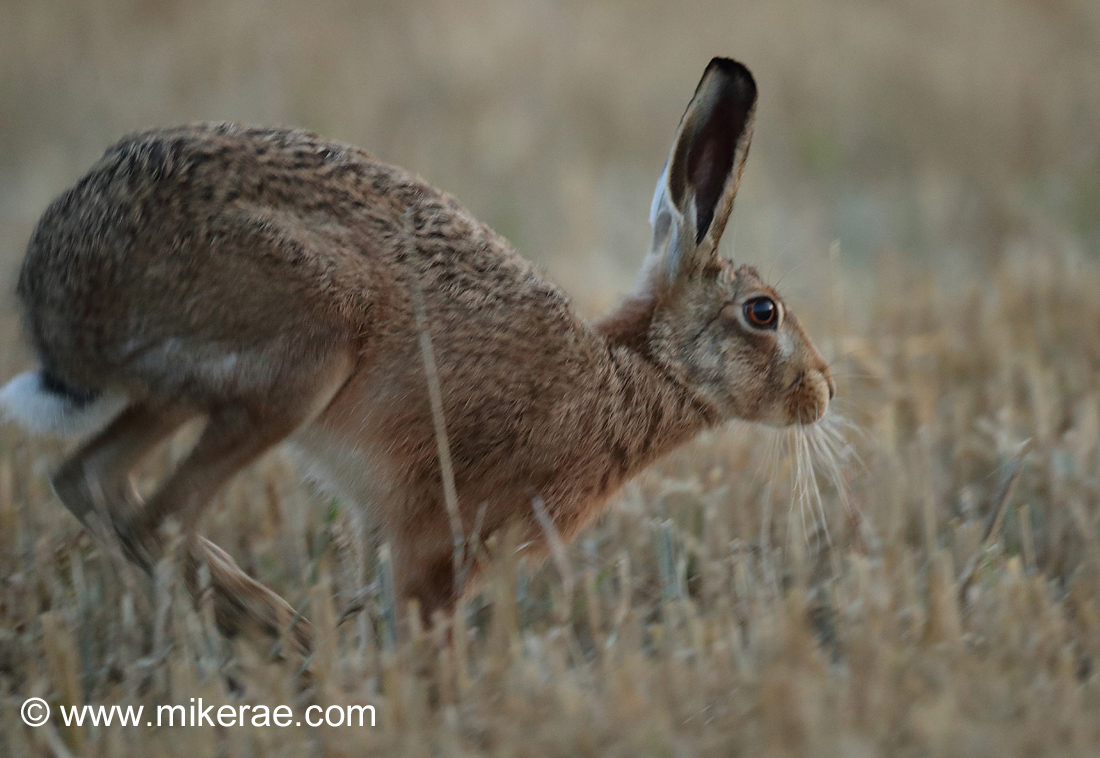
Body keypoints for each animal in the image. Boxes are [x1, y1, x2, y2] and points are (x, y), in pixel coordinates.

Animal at [1, 57, 833, 648]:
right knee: (160, 517)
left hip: (183, 388)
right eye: (762, 313)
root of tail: (58, 283)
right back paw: (283, 630)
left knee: (91, 479)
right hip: (303, 349)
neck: (635, 372)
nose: (822, 390)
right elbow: (429, 639)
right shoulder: (441, 539)